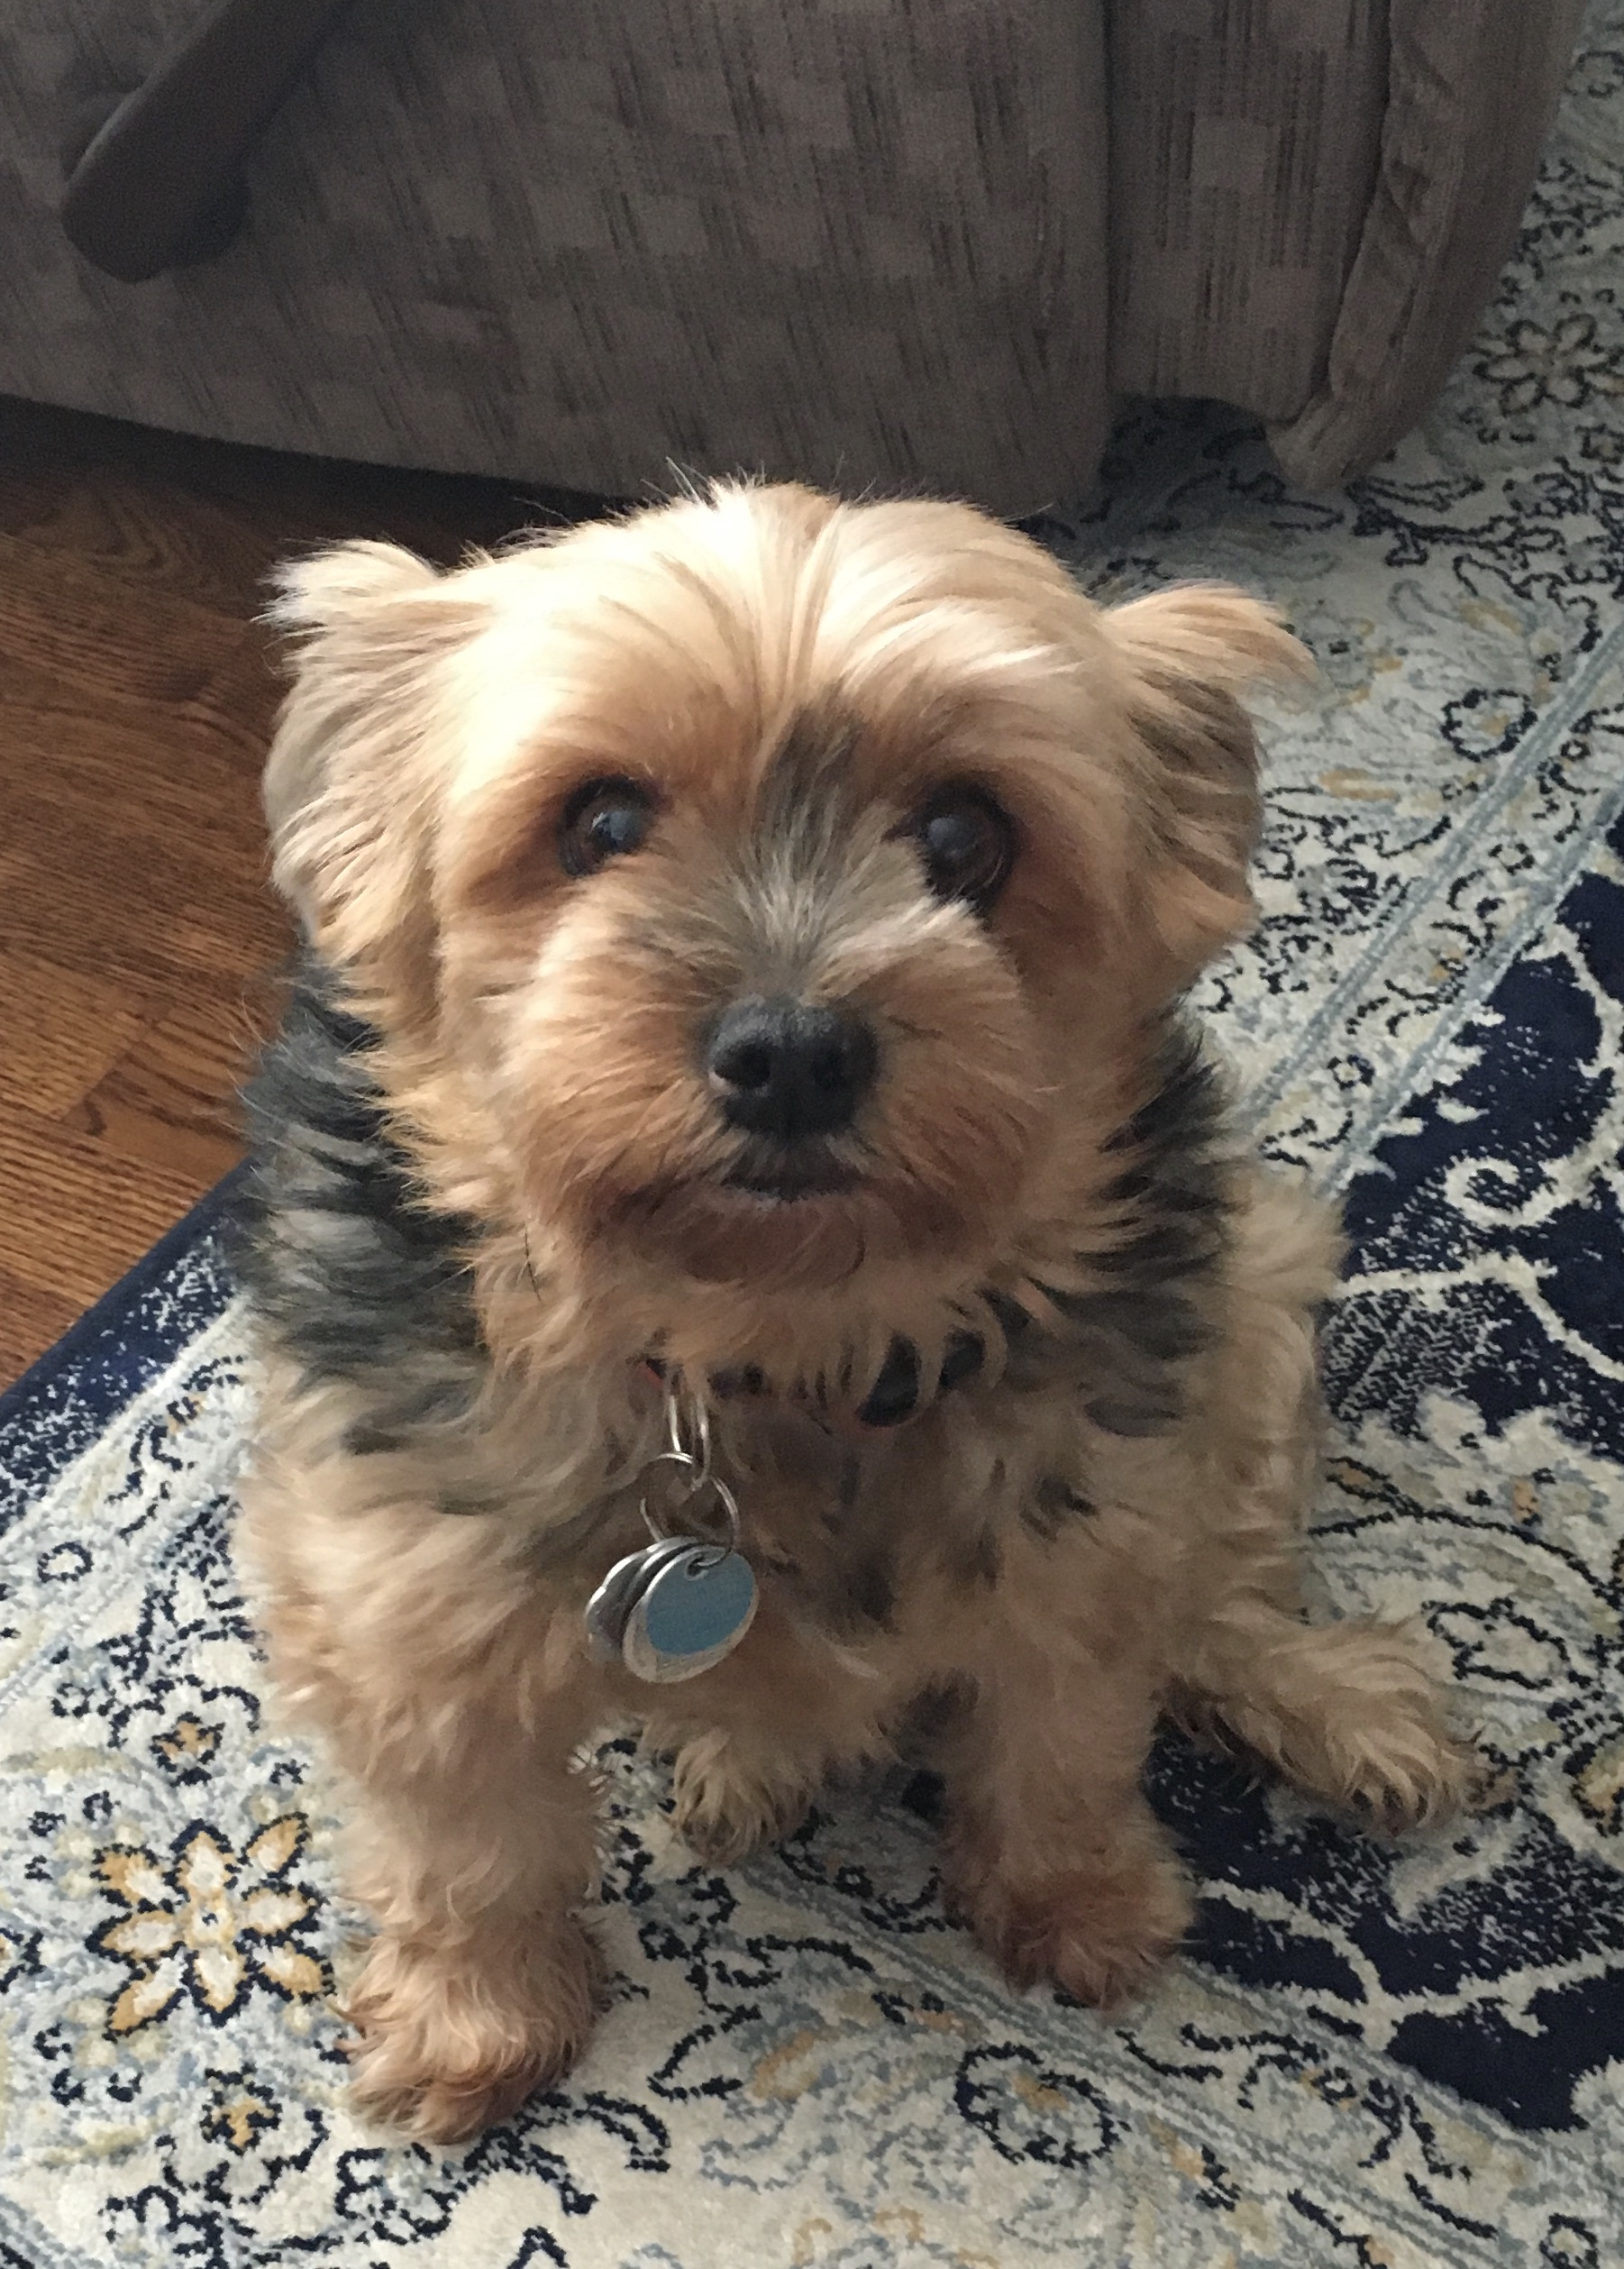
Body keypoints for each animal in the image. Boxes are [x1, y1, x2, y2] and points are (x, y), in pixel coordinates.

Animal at [234, 481, 1478, 2144]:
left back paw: (1324, 1694)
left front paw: (1074, 1902)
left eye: (967, 834)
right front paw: (478, 2020)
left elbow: (1066, 1732)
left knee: (1220, 1576)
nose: (792, 1050)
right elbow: (467, 1847)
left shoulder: (1088, 1529)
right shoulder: (403, 1605)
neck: (770, 1347)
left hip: (1250, 1294)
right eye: (599, 822)